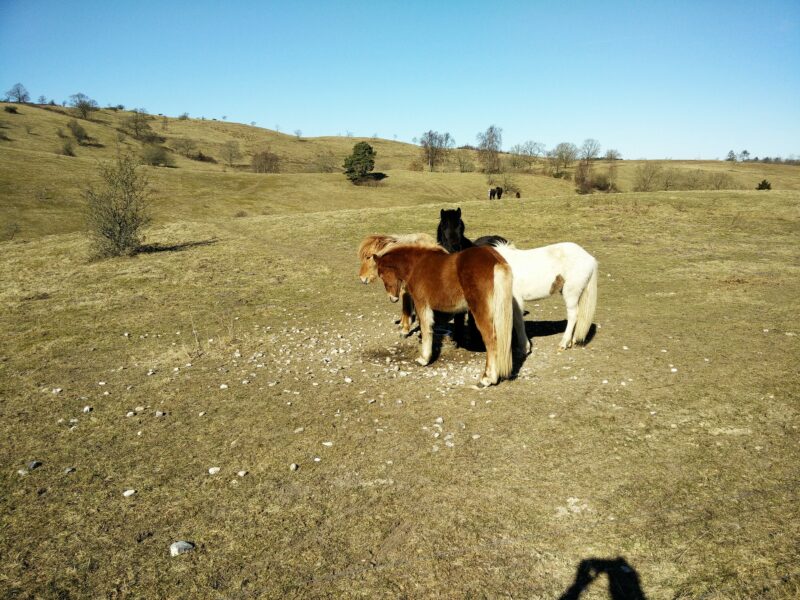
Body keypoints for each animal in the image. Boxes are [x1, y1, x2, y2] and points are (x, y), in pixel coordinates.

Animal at [370, 242, 517, 387]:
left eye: (381, 274)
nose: (392, 298)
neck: (416, 264)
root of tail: (495, 260)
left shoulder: (421, 304)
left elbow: (426, 329)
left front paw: (424, 359)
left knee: (491, 340)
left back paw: (487, 378)